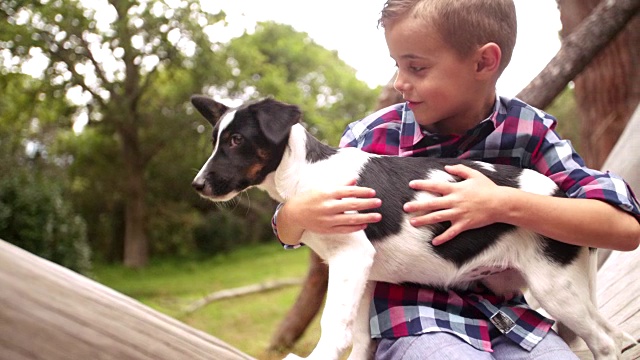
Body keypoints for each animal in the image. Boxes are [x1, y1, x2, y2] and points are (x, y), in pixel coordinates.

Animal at [189, 96, 624, 360]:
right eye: (214, 141)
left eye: (237, 139)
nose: (197, 185)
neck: (308, 173)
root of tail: (563, 194)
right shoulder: (363, 273)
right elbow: (361, 337)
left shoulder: (351, 259)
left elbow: (335, 328)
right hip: (568, 286)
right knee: (609, 330)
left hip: (555, 287)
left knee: (603, 341)